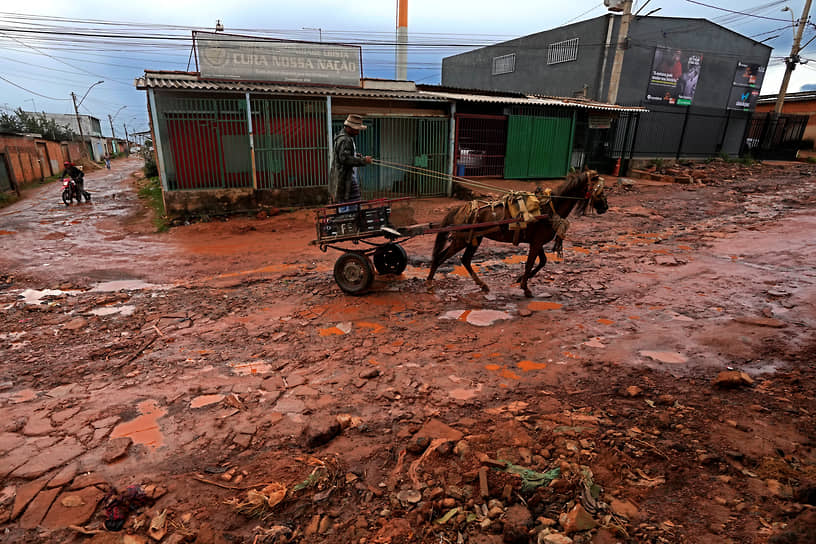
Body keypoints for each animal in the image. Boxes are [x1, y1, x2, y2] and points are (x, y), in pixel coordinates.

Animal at [428, 170, 604, 298]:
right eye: (601, 192)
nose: (605, 207)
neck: (550, 207)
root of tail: (461, 208)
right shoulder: (536, 243)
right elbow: (530, 263)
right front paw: (525, 288)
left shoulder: (537, 242)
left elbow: (542, 262)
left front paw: (521, 279)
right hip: (462, 239)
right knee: (441, 257)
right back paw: (429, 282)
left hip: (475, 238)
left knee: (465, 260)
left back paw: (482, 285)